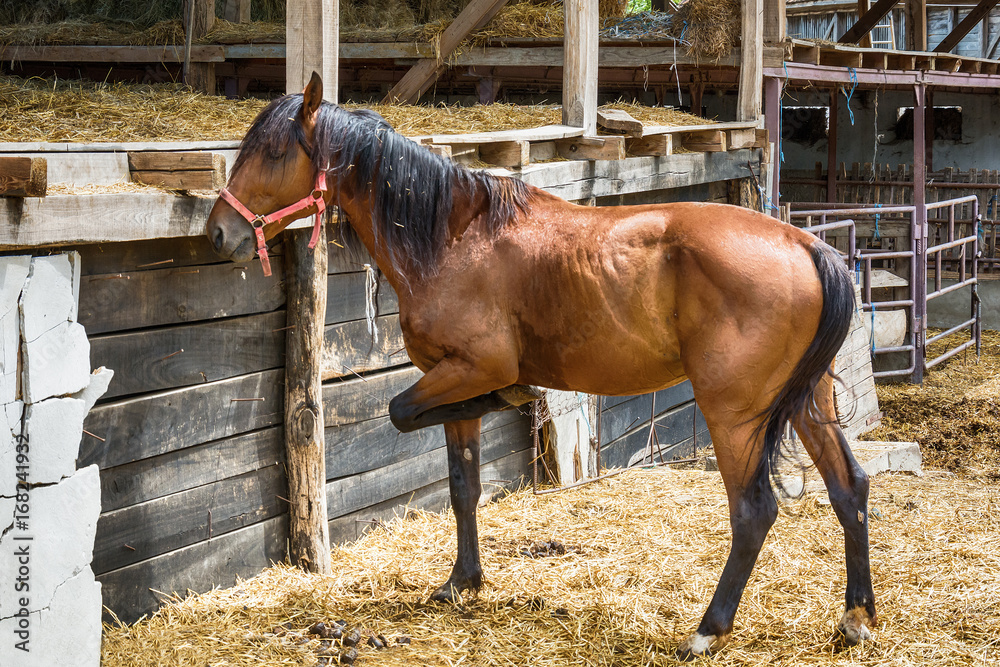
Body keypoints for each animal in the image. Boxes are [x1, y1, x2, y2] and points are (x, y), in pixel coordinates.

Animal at [205, 73, 876, 658]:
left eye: (272, 152)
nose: (218, 233)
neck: (454, 238)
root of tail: (804, 244)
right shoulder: (452, 383)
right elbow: (463, 486)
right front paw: (462, 581)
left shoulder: (467, 371)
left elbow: (401, 412)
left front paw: (515, 398)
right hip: (808, 402)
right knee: (850, 487)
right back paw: (855, 617)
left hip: (735, 415)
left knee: (754, 510)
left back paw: (708, 629)